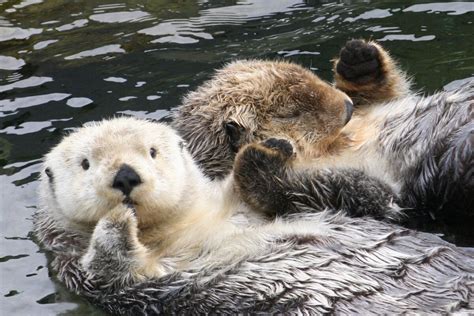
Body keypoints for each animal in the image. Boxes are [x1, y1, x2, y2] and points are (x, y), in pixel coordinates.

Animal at [34, 117, 474, 314]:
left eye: (152, 152)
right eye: (86, 164)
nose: (125, 176)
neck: (186, 226)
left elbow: (372, 197)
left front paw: (264, 154)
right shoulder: (84, 275)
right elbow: (110, 272)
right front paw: (115, 223)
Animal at [173, 39, 474, 232]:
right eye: (290, 113)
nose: (348, 107)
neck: (338, 143)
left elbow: (392, 95)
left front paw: (359, 59)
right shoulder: (392, 199)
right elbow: (370, 196)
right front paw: (262, 157)